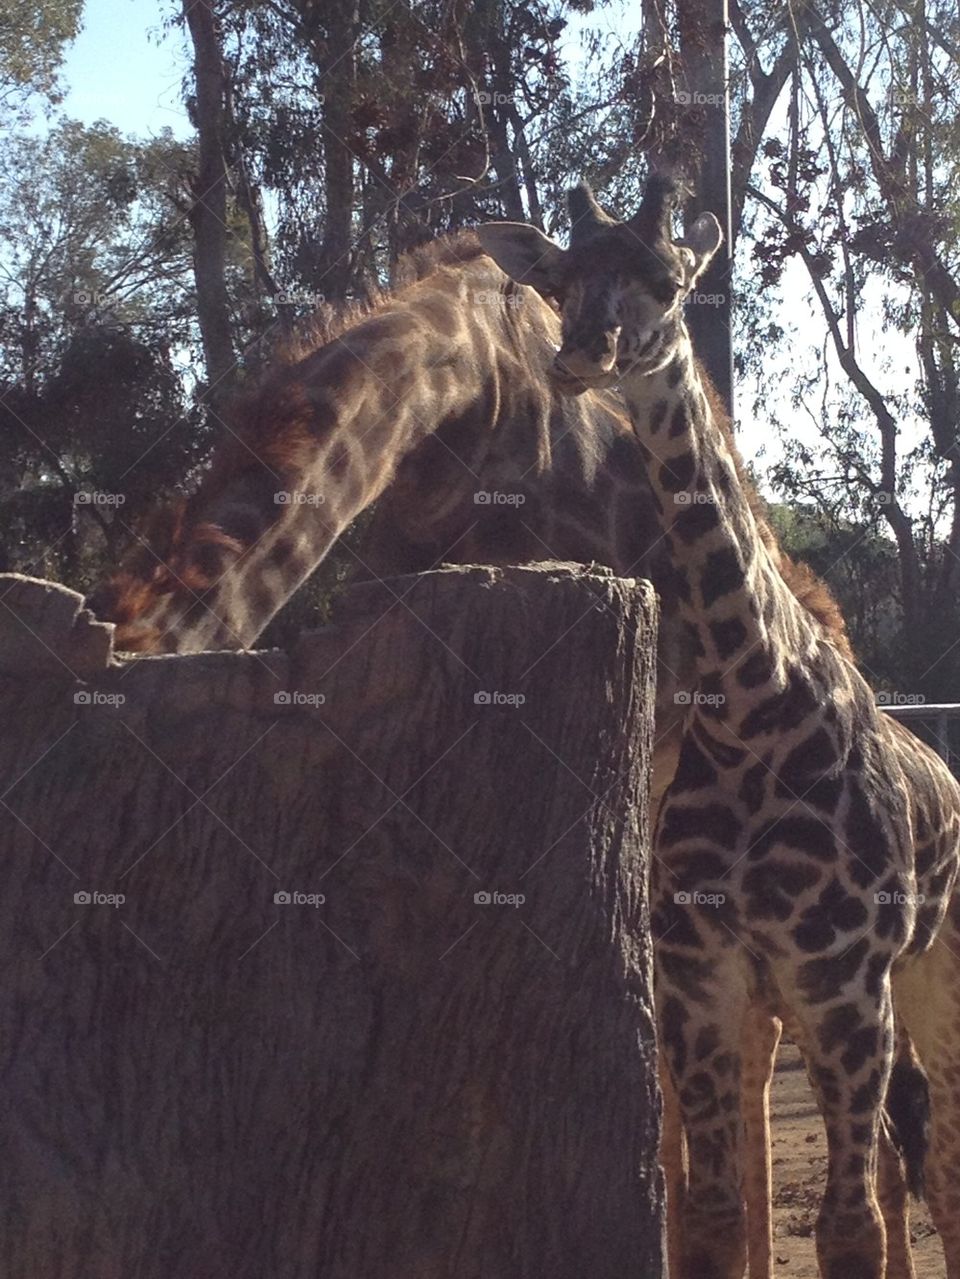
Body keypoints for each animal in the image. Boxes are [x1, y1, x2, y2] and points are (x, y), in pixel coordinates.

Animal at [477, 176, 960, 1279]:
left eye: (665, 279)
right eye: (560, 279)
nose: (584, 352)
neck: (752, 708)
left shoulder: (840, 984)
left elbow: (849, 1231)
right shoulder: (706, 984)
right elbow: (705, 1217)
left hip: (931, 972)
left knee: (939, 1149)